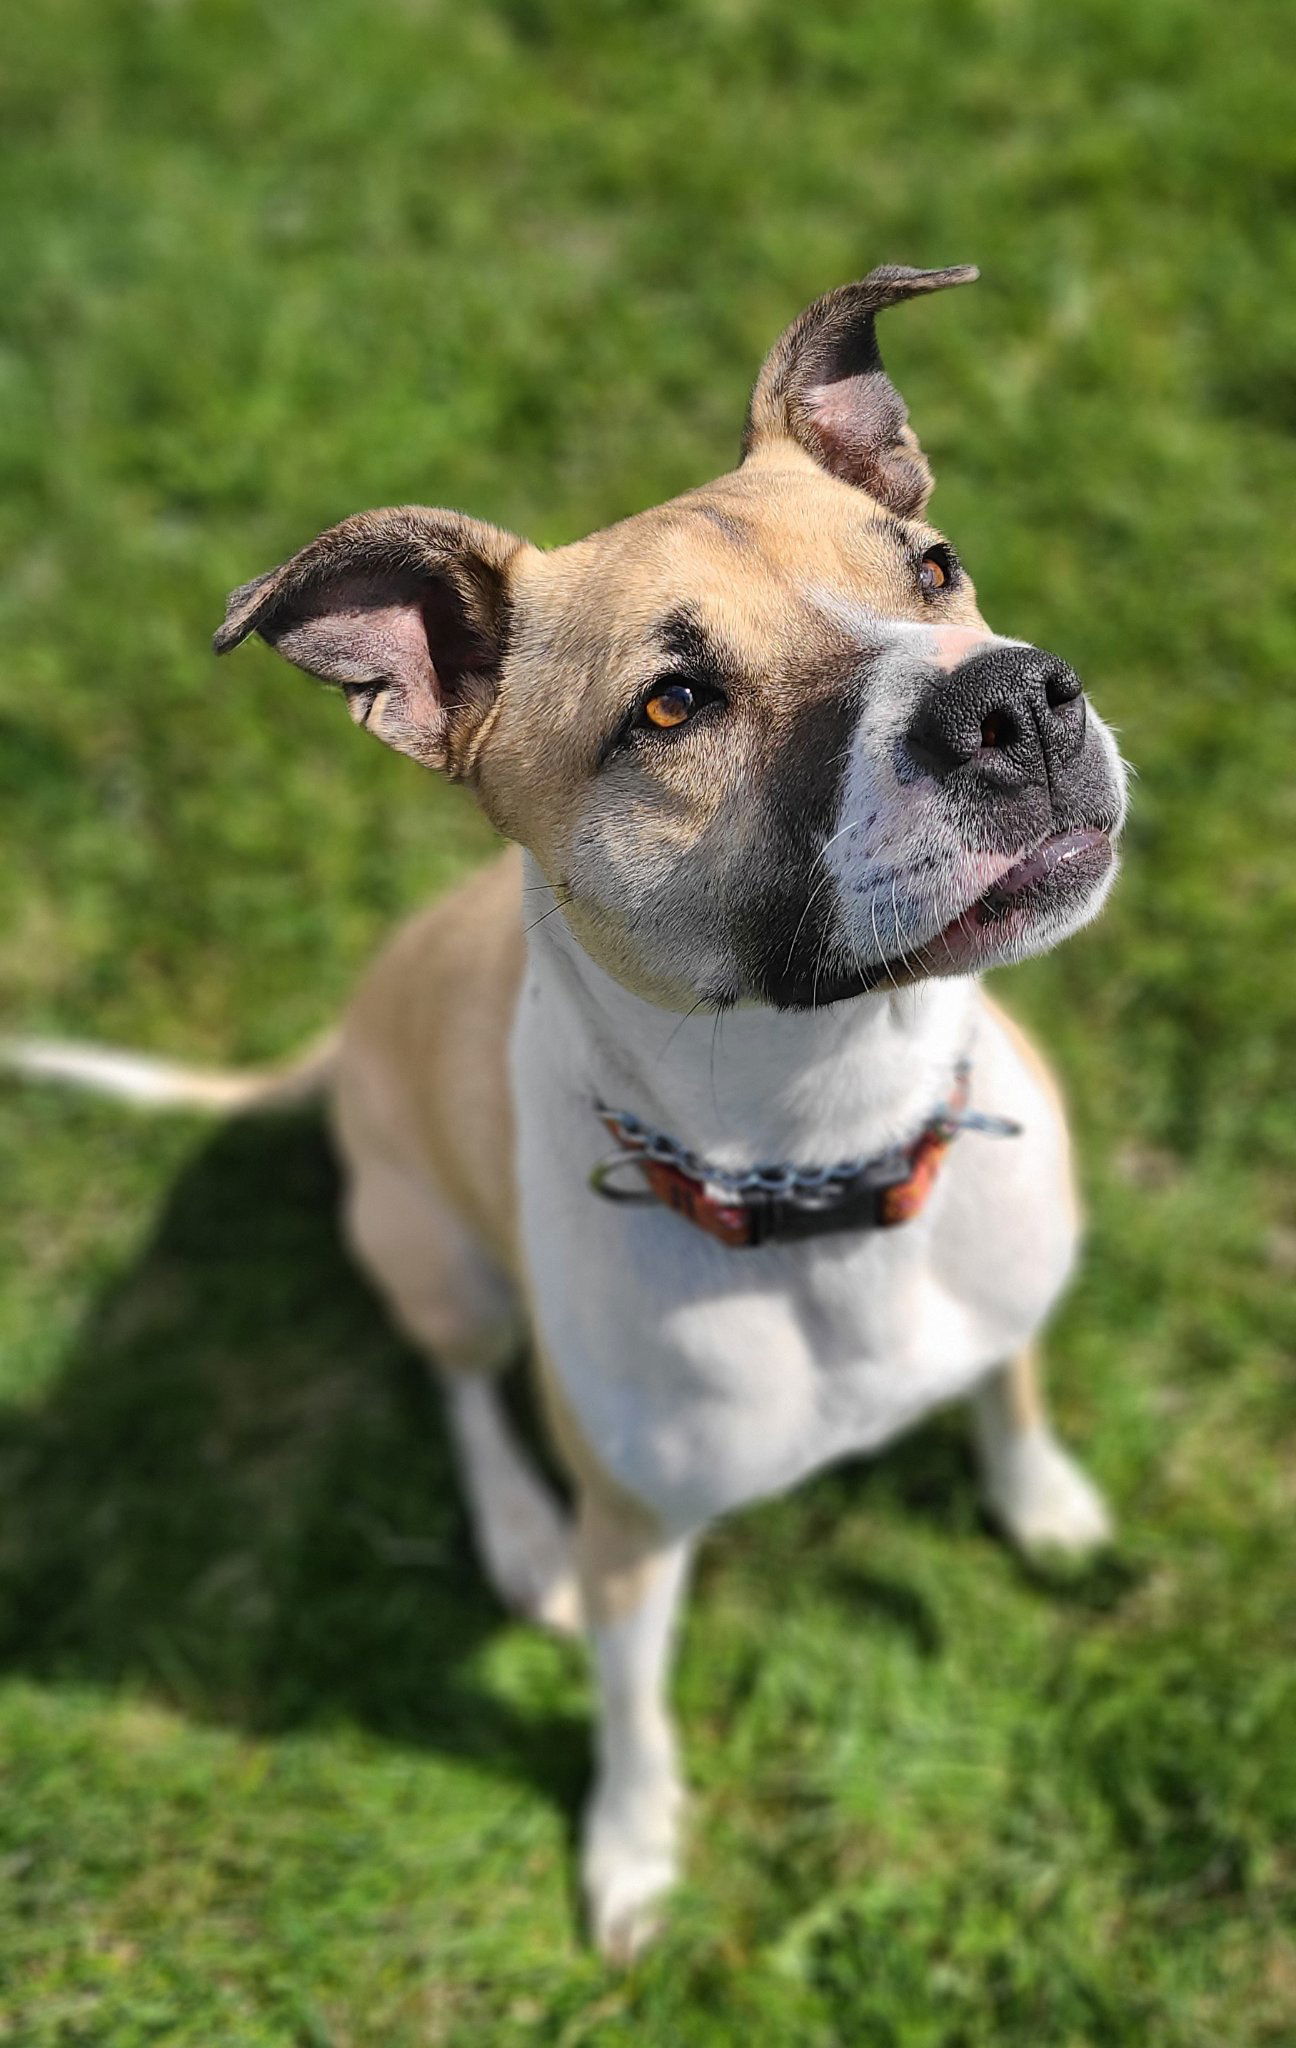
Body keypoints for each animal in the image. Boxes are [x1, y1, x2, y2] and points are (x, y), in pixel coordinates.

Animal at [7, 268, 1121, 1949]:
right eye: (672, 706)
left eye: (933, 568)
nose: (1020, 703)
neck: (827, 1148)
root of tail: (345, 1026)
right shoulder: (637, 1540)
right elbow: (633, 1708)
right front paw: (634, 1851)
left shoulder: (998, 1302)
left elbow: (1011, 1389)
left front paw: (1042, 1501)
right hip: (437, 1259)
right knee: (463, 1389)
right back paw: (517, 1536)